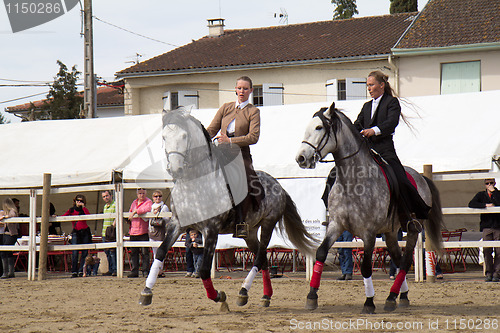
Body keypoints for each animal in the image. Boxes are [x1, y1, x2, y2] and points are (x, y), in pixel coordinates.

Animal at [139, 109, 314, 308]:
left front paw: (218, 296)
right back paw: (263, 295)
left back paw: (244, 291)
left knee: (260, 257)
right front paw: (146, 291)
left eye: (184, 136)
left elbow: (204, 269)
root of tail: (279, 185)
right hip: (250, 233)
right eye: (164, 137)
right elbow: (161, 252)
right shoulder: (177, 224)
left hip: (268, 224)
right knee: (263, 260)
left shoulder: (211, 230)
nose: (175, 169)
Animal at [294, 102, 444, 312]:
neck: (352, 182)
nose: (301, 158)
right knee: (398, 260)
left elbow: (365, 266)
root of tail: (420, 176)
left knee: (406, 261)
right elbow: (321, 253)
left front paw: (369, 302)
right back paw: (399, 296)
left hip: (412, 229)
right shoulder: (336, 225)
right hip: (390, 232)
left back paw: (392, 297)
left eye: (319, 127)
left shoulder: (368, 232)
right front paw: (311, 296)